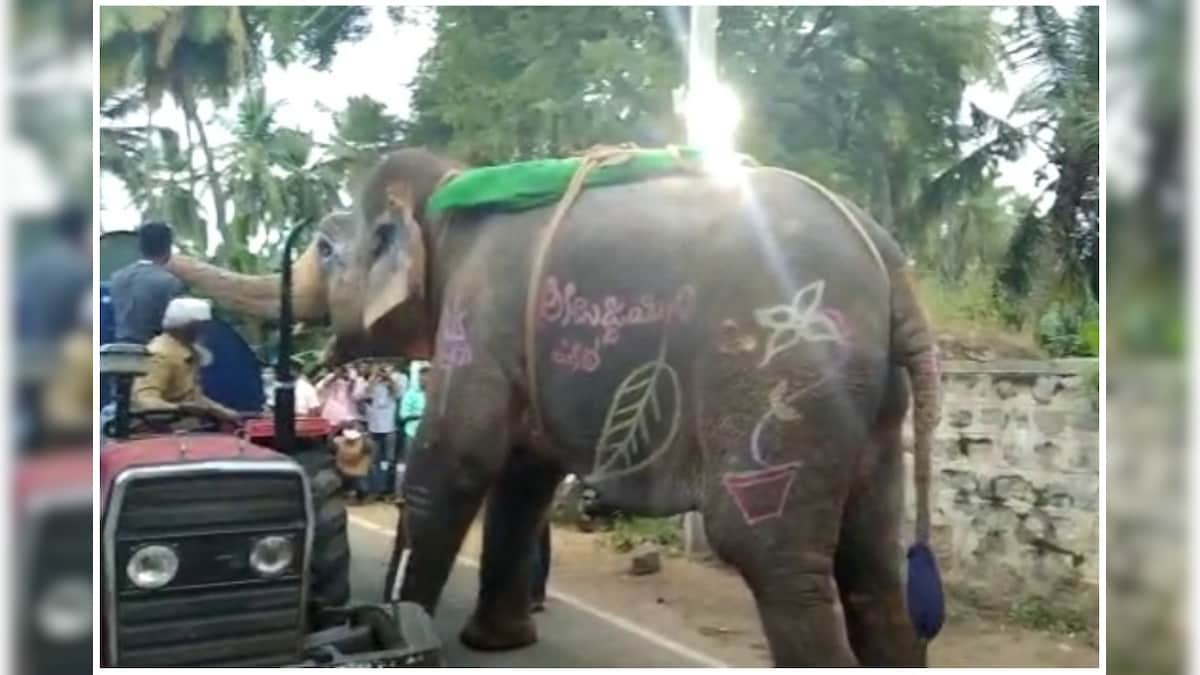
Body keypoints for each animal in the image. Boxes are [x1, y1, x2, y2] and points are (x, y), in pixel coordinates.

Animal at [175, 148, 945, 667]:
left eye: (327, 248)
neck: (449, 193)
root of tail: (890, 264)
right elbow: (523, 475)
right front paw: (497, 641)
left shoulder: (479, 316)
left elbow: (455, 460)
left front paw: (400, 624)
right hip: (875, 405)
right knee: (873, 557)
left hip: (783, 376)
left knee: (768, 546)